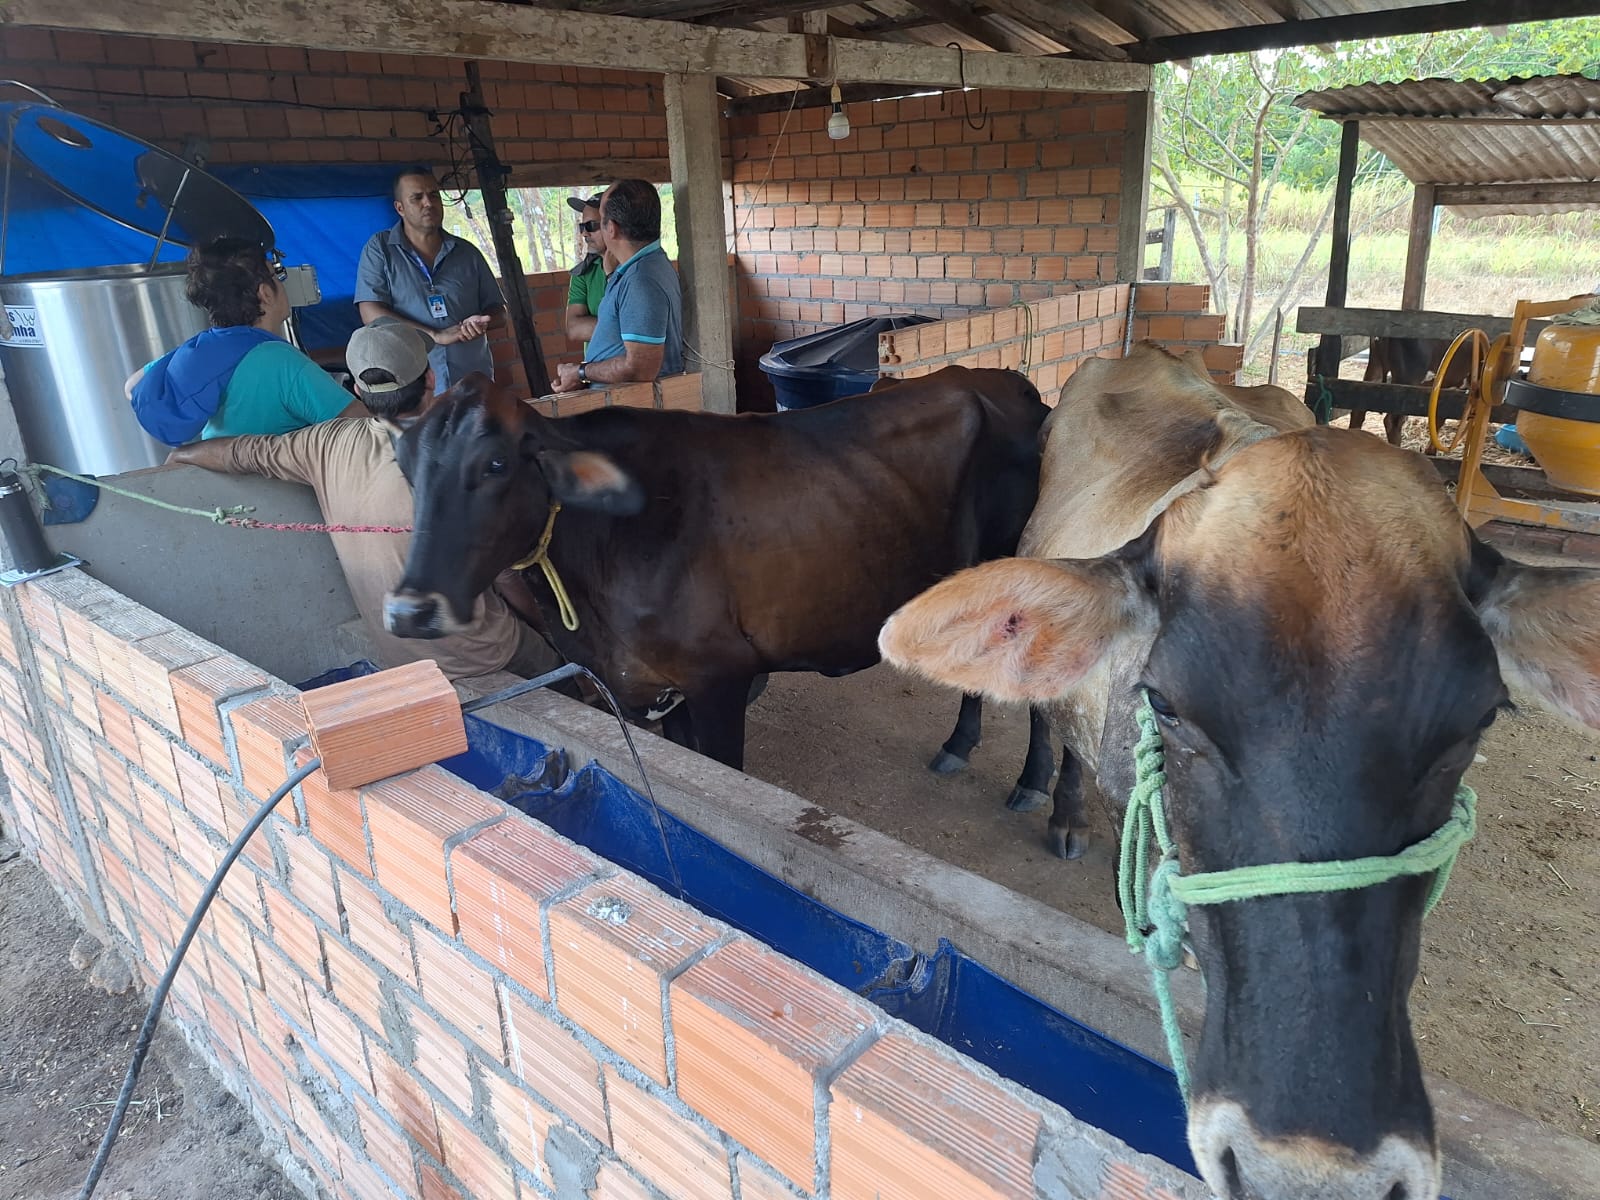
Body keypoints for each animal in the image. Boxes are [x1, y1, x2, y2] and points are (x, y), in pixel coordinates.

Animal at [382, 367, 1055, 796]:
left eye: (495, 463)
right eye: (405, 465)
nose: (409, 611)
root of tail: (1010, 382)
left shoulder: (719, 677)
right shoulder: (653, 689)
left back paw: (1034, 788)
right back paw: (960, 744)